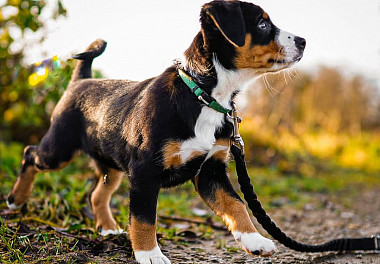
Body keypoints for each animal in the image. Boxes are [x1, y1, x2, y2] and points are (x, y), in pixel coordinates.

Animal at [6, 1, 306, 262]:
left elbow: (235, 204)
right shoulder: (145, 171)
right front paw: (149, 254)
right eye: (262, 24)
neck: (203, 96)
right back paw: (15, 199)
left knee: (97, 194)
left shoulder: (211, 169)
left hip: (110, 165)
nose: (303, 41)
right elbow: (144, 217)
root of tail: (81, 80)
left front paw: (255, 240)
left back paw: (107, 227)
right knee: (30, 153)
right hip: (59, 148)